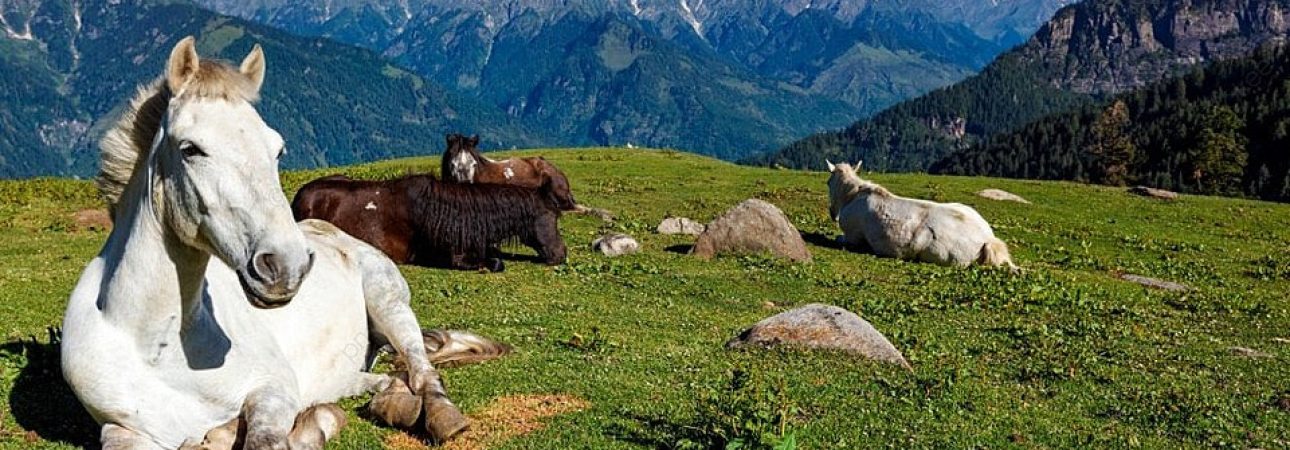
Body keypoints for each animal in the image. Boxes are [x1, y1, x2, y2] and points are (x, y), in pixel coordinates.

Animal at [60, 36, 505, 446]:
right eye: (190, 149)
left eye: (277, 150)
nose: (285, 265)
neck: (157, 346)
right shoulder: (121, 429)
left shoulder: (272, 390)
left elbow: (265, 440)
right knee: (379, 382)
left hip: (390, 304)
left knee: (422, 371)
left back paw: (440, 414)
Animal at [825, 159, 1016, 268]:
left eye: (828, 182)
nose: (832, 213)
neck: (852, 196)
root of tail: (988, 239)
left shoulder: (852, 237)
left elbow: (839, 238)